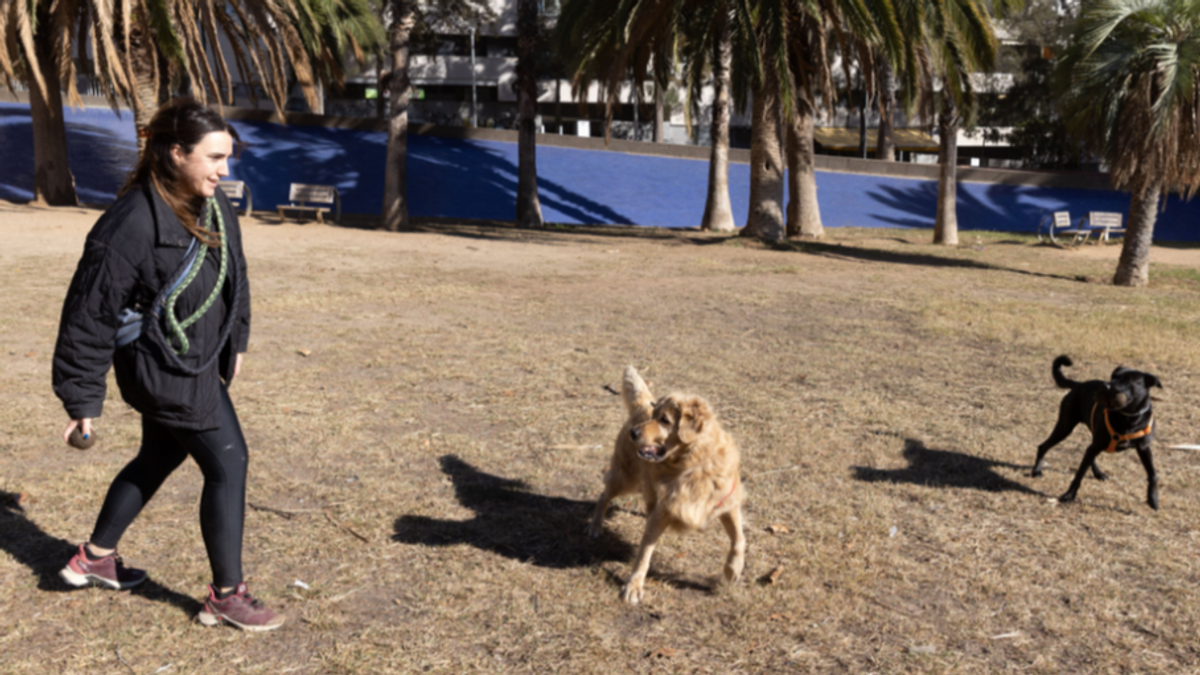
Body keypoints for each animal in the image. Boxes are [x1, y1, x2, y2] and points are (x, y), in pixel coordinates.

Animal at [1032, 355, 1161, 506]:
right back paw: (1036, 470)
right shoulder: (1096, 445)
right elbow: (1079, 474)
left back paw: (1098, 473)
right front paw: (1069, 495)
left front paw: (1153, 498)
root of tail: (1079, 385)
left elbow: (1153, 474)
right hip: (1065, 427)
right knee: (1043, 446)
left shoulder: (1144, 448)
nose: (1105, 386)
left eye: (1126, 380)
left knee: (1088, 453)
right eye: (1112, 376)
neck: (1128, 418)